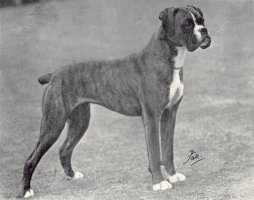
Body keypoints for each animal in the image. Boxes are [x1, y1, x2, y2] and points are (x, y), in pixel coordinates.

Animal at [22, 5, 211, 198]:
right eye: (187, 24)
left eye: (201, 20)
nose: (204, 30)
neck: (166, 59)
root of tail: (54, 74)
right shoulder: (151, 117)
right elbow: (155, 153)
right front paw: (159, 182)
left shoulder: (169, 115)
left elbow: (167, 150)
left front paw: (172, 175)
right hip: (53, 124)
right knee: (31, 158)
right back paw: (26, 190)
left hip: (79, 122)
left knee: (64, 149)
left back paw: (72, 175)